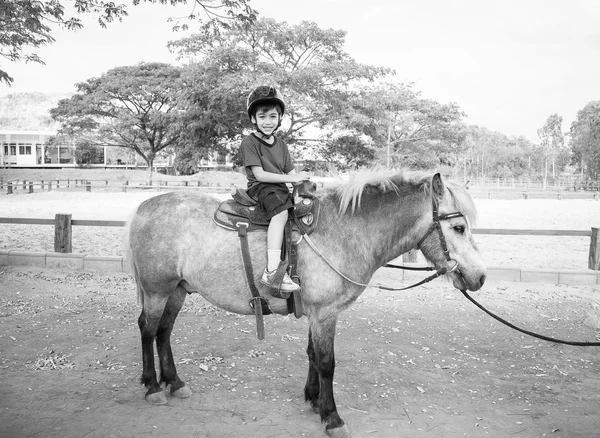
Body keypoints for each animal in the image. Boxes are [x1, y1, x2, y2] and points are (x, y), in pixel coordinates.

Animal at [126, 169, 488, 436]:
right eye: (459, 227)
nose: (480, 276)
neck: (346, 232)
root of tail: (143, 207)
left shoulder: (317, 314)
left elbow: (313, 354)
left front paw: (314, 401)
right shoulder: (326, 313)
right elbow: (327, 363)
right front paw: (333, 417)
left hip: (177, 290)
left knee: (164, 332)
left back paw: (174, 382)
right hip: (158, 290)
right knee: (148, 329)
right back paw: (154, 387)